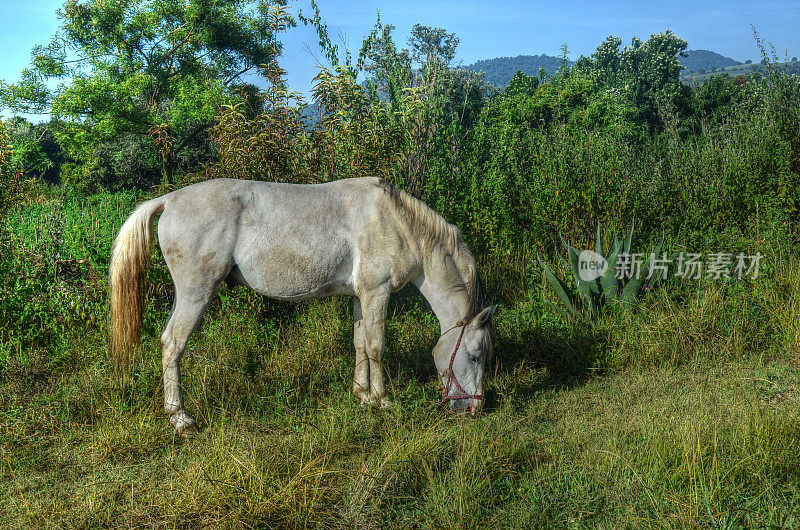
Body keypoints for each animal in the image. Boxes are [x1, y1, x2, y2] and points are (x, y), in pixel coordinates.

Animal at [106, 177, 494, 434]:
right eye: (475, 355)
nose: (475, 408)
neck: (397, 221)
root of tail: (169, 200)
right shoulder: (377, 293)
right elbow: (377, 346)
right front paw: (383, 401)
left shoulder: (361, 296)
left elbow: (359, 344)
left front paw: (362, 395)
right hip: (195, 293)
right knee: (173, 344)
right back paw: (180, 418)